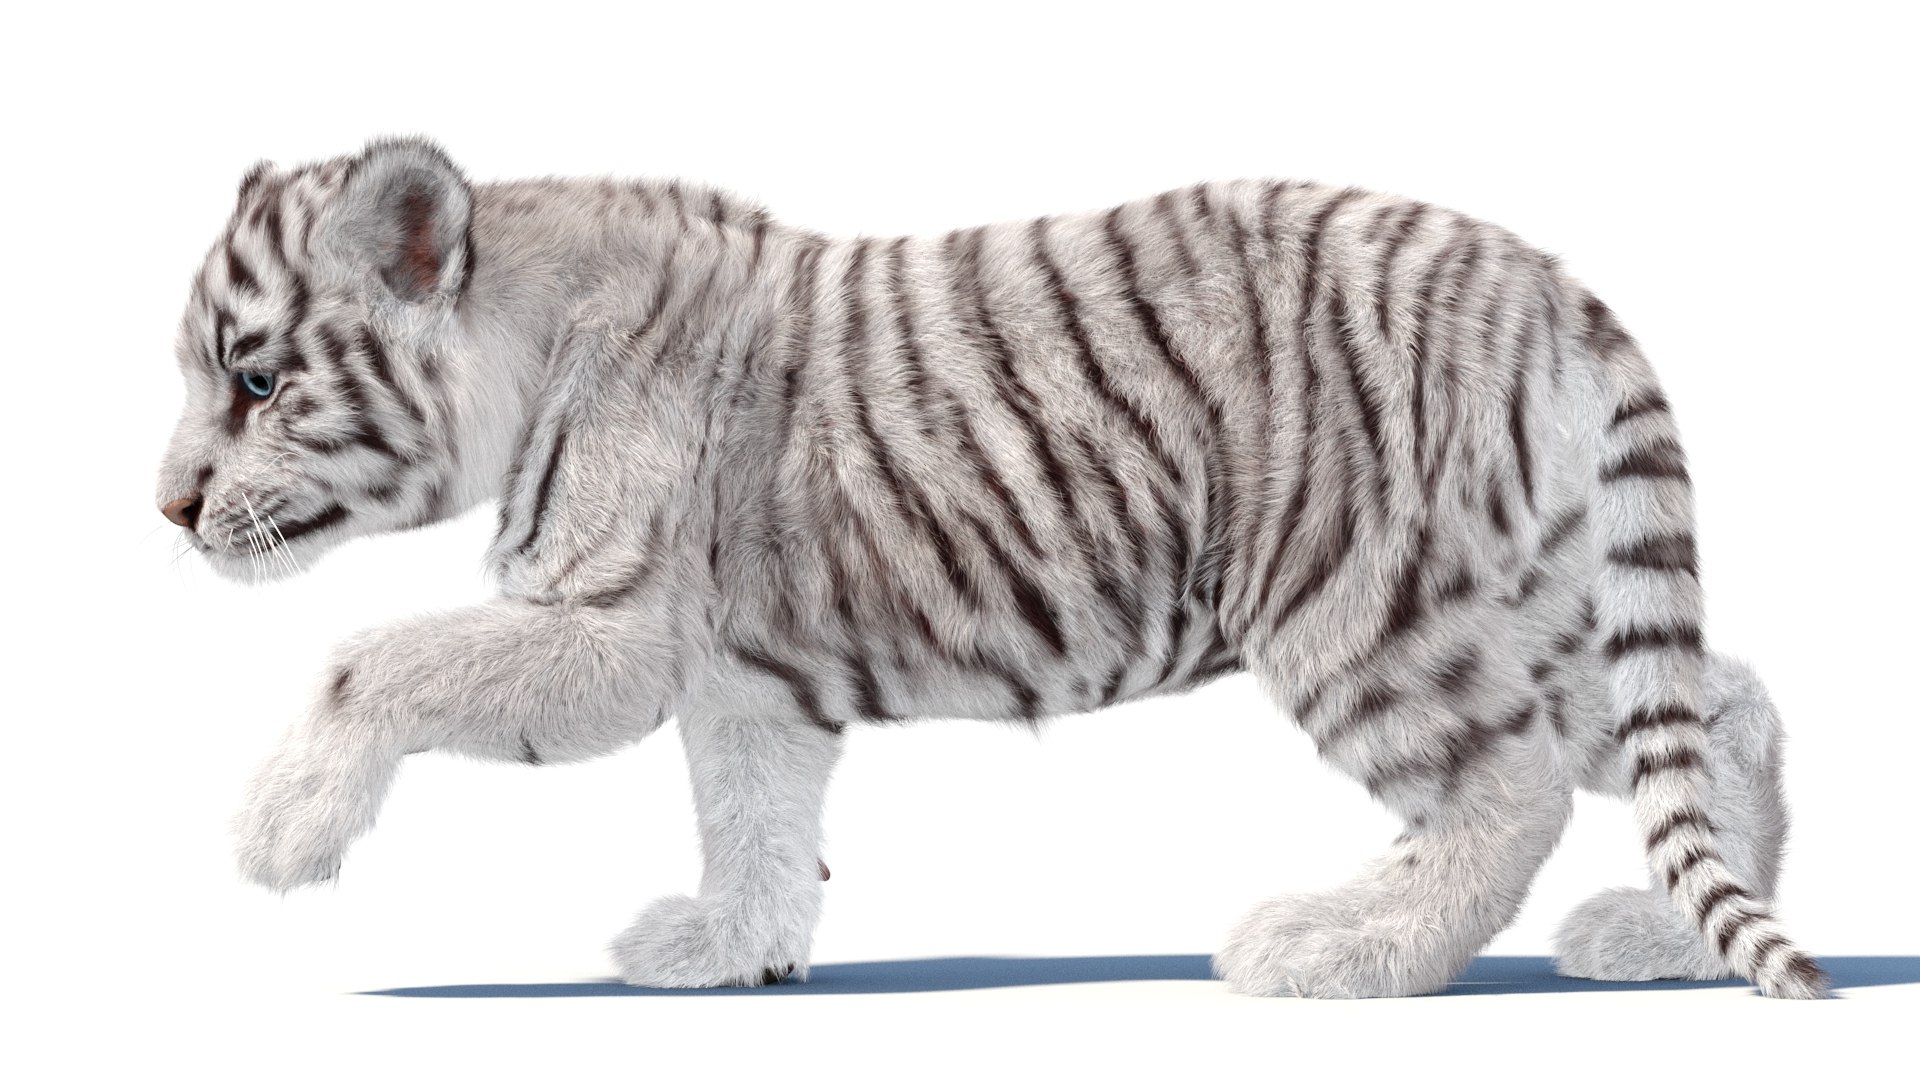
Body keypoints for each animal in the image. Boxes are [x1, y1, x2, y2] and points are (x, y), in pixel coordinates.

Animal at [155, 136, 1826, 999]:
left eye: (252, 379)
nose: (167, 509)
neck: (516, 346)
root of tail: (1542, 279)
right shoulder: (742, 678)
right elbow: (754, 822)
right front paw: (729, 952)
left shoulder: (610, 633)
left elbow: (369, 658)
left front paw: (280, 833)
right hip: (1520, 592)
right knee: (1717, 706)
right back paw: (1671, 939)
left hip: (1366, 602)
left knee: (1510, 784)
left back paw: (1334, 949)